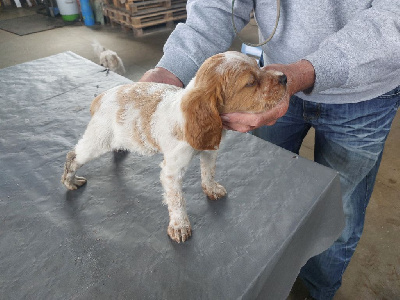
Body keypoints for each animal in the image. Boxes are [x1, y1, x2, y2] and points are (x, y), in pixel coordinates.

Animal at [61, 51, 288, 244]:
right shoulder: (172, 171)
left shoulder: (209, 152)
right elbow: (177, 200)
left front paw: (212, 189)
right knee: (73, 155)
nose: (285, 77)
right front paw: (179, 226)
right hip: (96, 142)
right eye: (251, 82)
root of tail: (102, 97)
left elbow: (208, 173)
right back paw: (70, 181)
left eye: (259, 66)